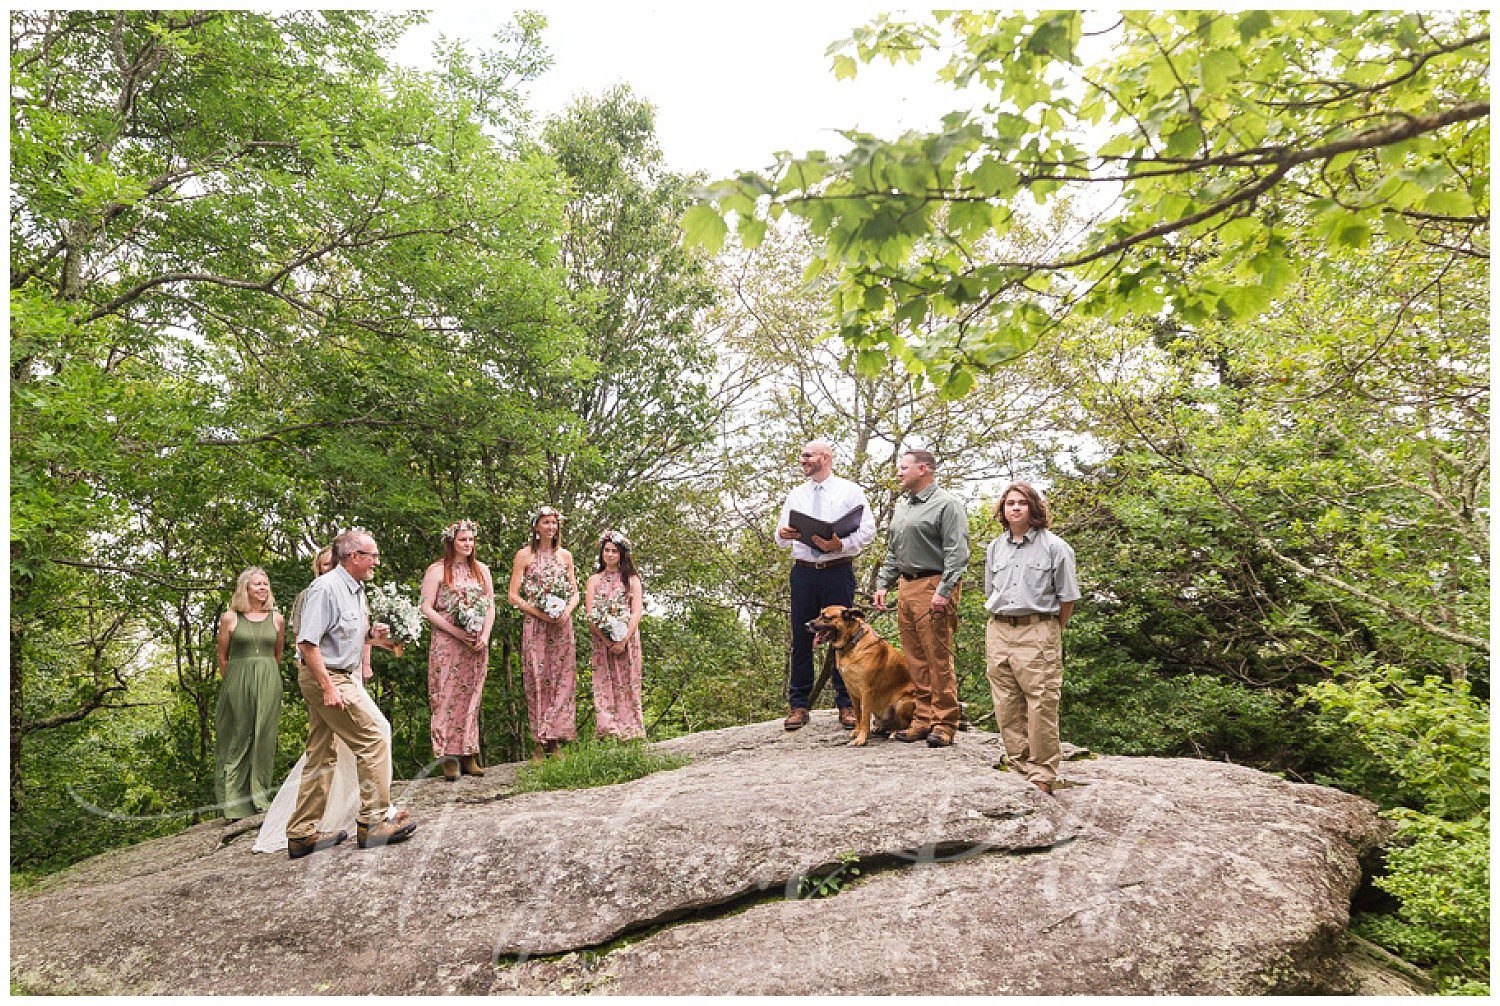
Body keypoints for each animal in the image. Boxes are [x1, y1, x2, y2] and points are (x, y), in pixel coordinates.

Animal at [810, 605, 912, 746]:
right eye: (820, 614)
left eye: (826, 617)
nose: (807, 624)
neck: (852, 643)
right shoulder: (851, 691)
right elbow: (858, 714)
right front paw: (857, 731)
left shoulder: (866, 691)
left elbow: (865, 717)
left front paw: (862, 738)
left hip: (902, 702)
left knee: (908, 723)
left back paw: (896, 732)